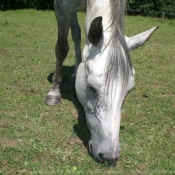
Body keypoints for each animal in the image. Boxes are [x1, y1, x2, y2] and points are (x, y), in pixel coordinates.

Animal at [44, 0, 158, 165]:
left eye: (128, 92)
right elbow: (61, 48)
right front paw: (53, 93)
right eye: (91, 88)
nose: (109, 156)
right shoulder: (62, 7)